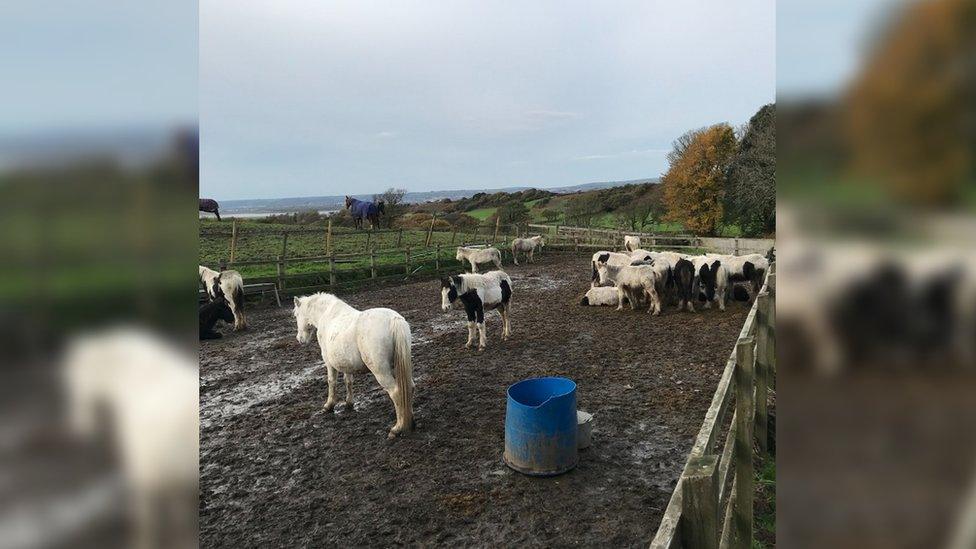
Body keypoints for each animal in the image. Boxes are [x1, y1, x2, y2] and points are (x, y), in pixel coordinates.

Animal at [62, 328, 198, 544]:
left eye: (76, 378)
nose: (79, 429)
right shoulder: (173, 484)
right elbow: (179, 525)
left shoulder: (146, 480)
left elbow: (147, 523)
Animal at [290, 292, 412, 436]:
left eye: (296, 315)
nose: (300, 339)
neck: (327, 315)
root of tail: (394, 320)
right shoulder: (346, 364)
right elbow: (348, 381)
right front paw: (349, 403)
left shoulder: (329, 363)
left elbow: (331, 382)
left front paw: (329, 405)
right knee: (409, 388)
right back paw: (410, 422)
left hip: (381, 372)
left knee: (396, 393)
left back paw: (397, 428)